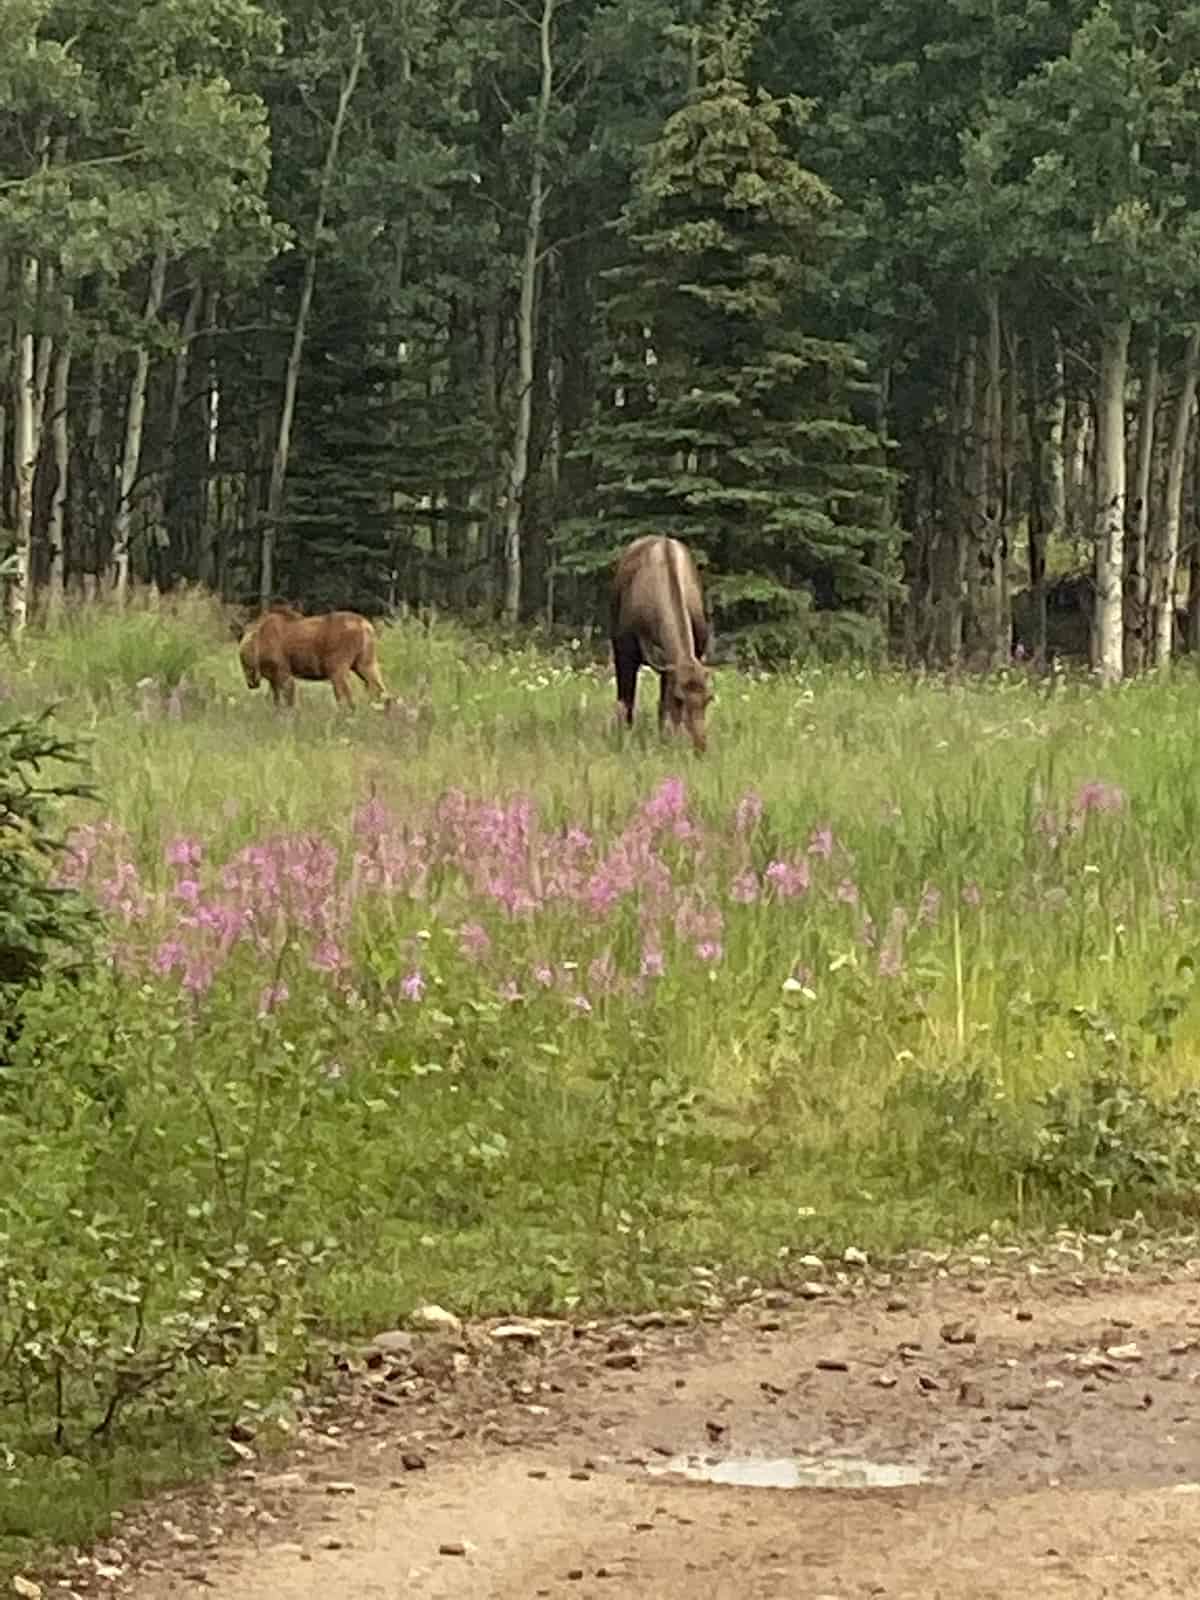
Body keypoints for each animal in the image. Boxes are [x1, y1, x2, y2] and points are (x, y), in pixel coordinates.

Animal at [614, 537, 710, 755]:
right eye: (680, 698)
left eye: (709, 698)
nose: (700, 746)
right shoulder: (625, 651)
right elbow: (627, 701)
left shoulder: (675, 663)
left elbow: (664, 706)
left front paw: (667, 740)